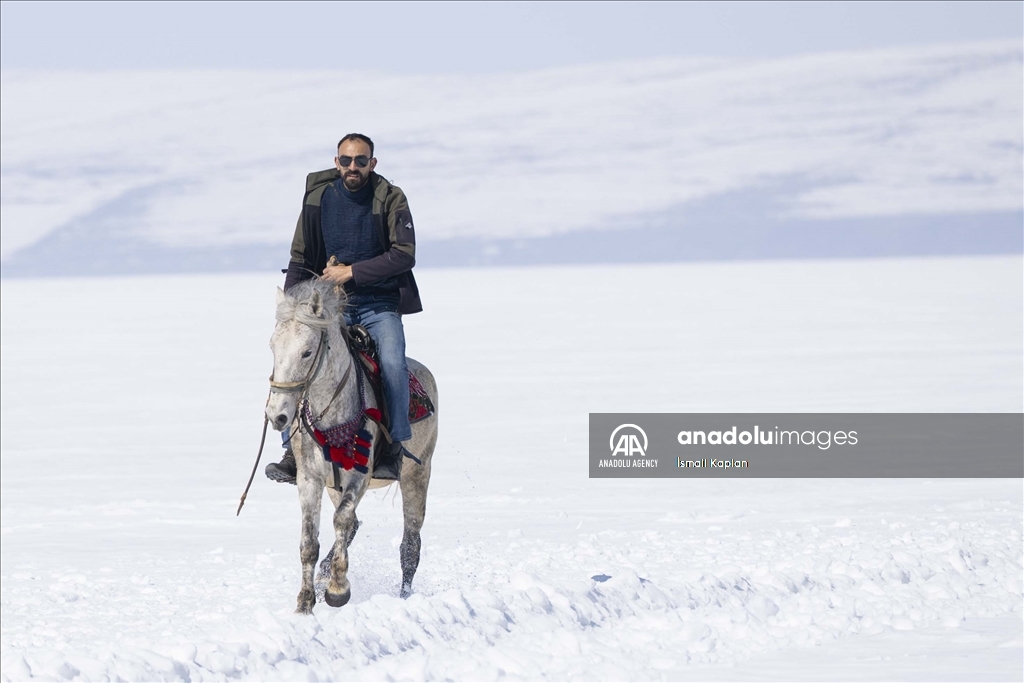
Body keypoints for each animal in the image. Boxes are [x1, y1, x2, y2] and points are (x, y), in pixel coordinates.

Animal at [264, 278, 436, 614]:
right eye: (273, 346)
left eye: (307, 352)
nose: (277, 415)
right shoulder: (311, 479)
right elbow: (309, 541)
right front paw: (305, 602)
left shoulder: (359, 474)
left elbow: (341, 519)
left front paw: (337, 591)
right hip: (335, 485)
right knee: (356, 525)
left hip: (417, 475)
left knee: (410, 545)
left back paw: (403, 598)